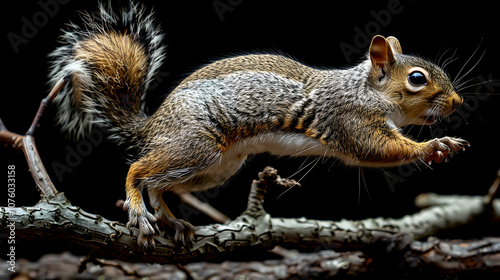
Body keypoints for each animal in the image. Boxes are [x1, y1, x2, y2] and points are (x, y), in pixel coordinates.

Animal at [47, 2, 468, 249]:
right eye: (417, 79)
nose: (457, 102)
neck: (365, 89)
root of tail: (151, 127)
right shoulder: (349, 120)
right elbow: (378, 149)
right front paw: (433, 146)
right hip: (195, 146)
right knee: (139, 171)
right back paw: (140, 210)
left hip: (214, 169)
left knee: (159, 184)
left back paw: (171, 219)